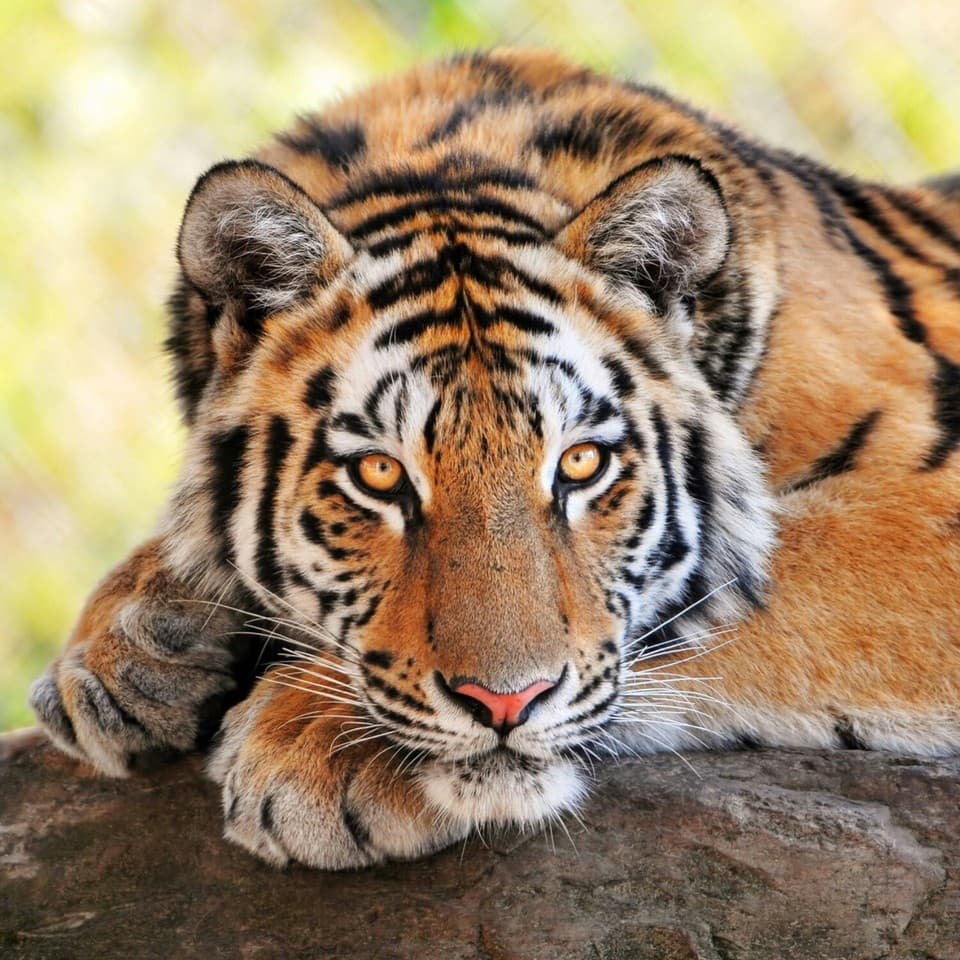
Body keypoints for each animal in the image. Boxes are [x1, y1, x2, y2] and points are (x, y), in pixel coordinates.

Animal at [28, 48, 960, 870]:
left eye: (579, 466)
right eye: (379, 475)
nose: (504, 704)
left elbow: (717, 596)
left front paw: (311, 741)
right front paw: (121, 653)